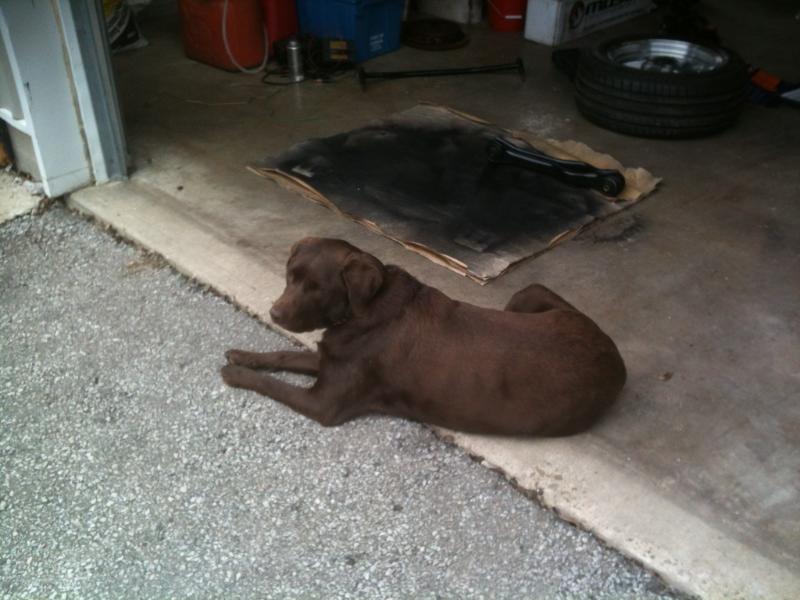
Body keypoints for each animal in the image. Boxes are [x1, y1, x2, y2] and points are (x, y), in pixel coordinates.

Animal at [222, 237, 626, 436]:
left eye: (317, 288)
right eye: (289, 276)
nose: (274, 313)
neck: (364, 308)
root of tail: (615, 358)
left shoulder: (324, 404)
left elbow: (272, 385)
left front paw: (236, 374)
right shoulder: (329, 358)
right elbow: (283, 355)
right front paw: (243, 355)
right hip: (530, 293)